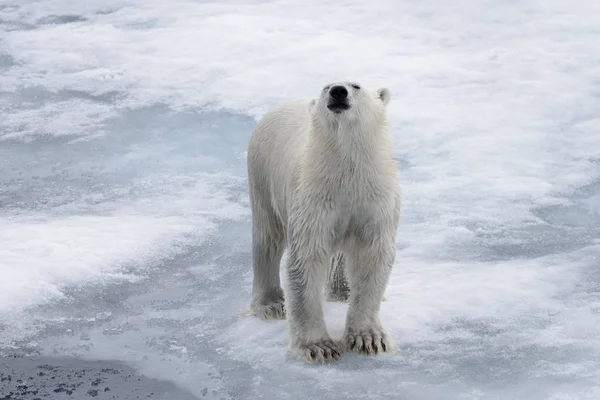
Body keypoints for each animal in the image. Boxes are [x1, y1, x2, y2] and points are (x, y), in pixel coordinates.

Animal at [246, 80, 400, 362]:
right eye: (326, 86)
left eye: (356, 85)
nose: (338, 91)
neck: (346, 173)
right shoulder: (312, 199)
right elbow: (306, 258)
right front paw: (319, 347)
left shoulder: (375, 200)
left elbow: (371, 255)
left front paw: (369, 338)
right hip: (262, 174)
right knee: (267, 239)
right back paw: (270, 304)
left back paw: (343, 291)